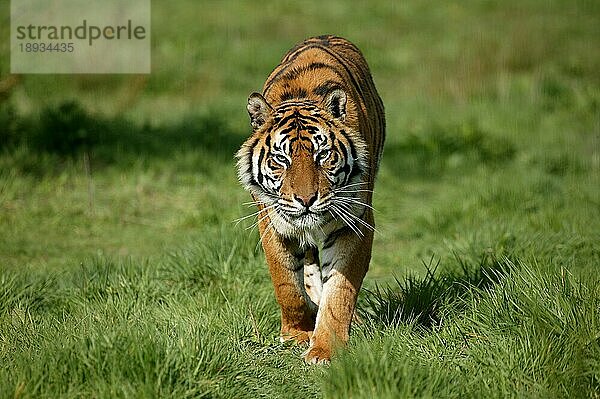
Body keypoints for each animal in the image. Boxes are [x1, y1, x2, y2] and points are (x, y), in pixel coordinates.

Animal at [237, 35, 386, 366]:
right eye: (281, 159)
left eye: (323, 155)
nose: (306, 200)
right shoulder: (272, 222)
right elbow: (286, 284)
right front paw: (297, 333)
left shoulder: (353, 223)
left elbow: (340, 291)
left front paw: (324, 349)